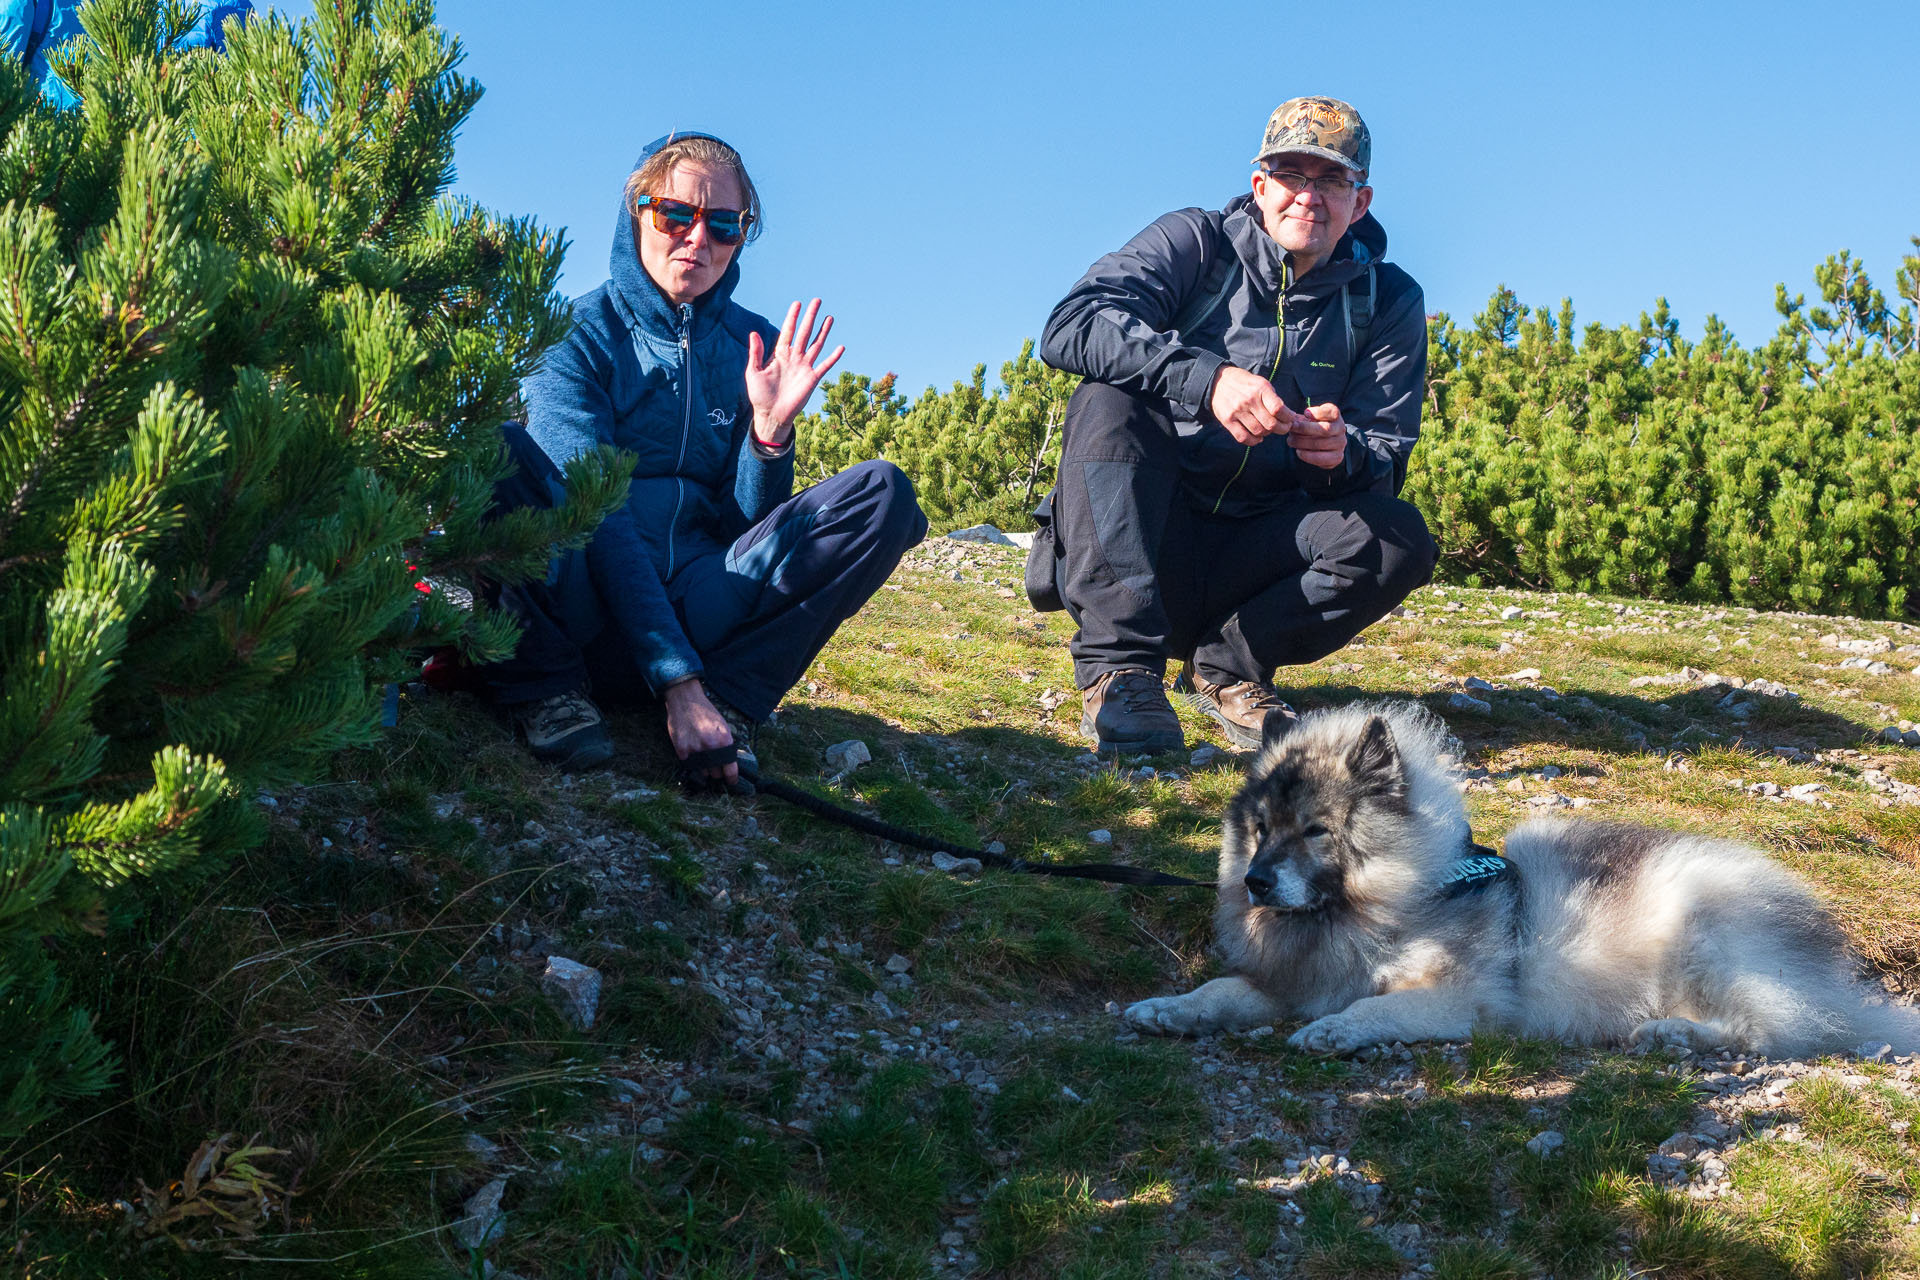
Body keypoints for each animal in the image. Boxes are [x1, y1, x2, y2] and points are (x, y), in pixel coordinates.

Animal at [1121, 702, 1920, 1059]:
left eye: (1316, 830)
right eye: (1260, 828)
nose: (1256, 883)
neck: (1383, 906)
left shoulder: (1466, 999)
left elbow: (1380, 1009)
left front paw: (1337, 1030)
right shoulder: (1295, 978)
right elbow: (1222, 991)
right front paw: (1168, 1008)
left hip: (1705, 934)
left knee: (1778, 1031)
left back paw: (1673, 1033)